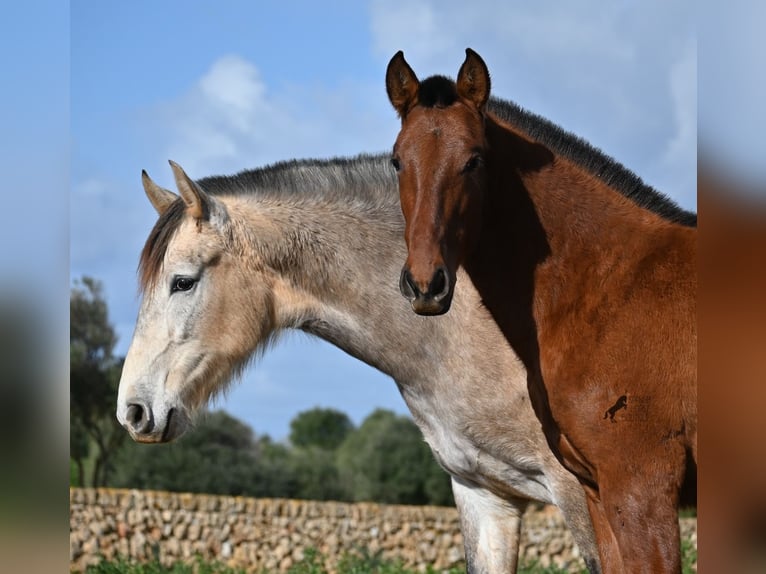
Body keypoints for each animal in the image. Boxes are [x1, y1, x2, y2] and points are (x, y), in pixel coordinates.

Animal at [388, 50, 700, 574]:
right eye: (396, 160)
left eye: (474, 160)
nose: (426, 284)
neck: (606, 284)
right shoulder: (597, 492)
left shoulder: (642, 487)